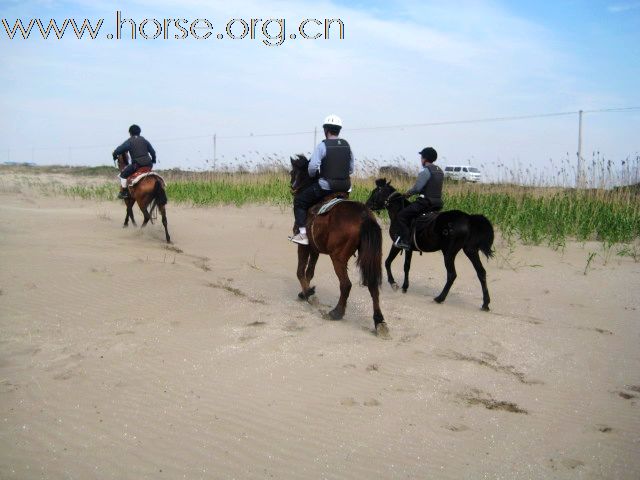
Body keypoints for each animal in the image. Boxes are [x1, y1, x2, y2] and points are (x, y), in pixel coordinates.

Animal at [292, 155, 390, 338]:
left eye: (292, 172)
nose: (292, 187)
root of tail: (364, 215)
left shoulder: (304, 247)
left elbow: (301, 271)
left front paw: (309, 295)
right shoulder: (315, 249)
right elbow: (309, 272)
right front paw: (306, 293)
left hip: (337, 258)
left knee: (346, 285)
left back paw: (336, 312)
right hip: (370, 257)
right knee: (373, 286)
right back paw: (379, 321)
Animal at [364, 179, 496, 312]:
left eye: (376, 192)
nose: (367, 205)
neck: (398, 212)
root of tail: (468, 218)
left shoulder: (398, 244)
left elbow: (391, 263)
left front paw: (395, 284)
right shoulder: (408, 249)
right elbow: (404, 266)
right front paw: (403, 286)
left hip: (449, 253)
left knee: (452, 275)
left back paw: (439, 298)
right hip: (470, 250)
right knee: (481, 272)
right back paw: (485, 303)